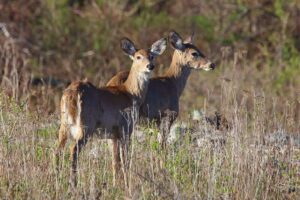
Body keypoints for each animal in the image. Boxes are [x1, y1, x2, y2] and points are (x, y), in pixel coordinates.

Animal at [56, 36, 168, 186]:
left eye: (151, 56)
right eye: (138, 57)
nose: (150, 66)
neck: (131, 94)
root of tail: (73, 92)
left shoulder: (113, 134)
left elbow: (115, 161)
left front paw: (116, 184)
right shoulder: (126, 128)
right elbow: (125, 160)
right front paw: (127, 184)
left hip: (64, 125)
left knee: (57, 150)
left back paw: (55, 178)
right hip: (86, 126)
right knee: (73, 150)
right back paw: (73, 183)